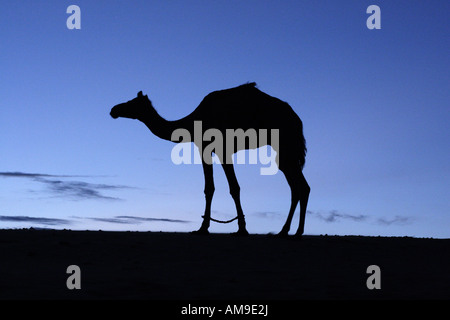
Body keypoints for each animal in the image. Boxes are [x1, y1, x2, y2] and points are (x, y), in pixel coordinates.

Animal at [110, 83, 312, 238]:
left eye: (132, 103)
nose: (114, 110)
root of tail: (297, 119)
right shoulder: (205, 149)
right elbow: (210, 188)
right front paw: (205, 227)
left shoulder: (221, 148)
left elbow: (232, 188)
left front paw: (239, 229)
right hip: (284, 150)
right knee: (298, 186)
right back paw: (287, 231)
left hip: (285, 145)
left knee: (300, 186)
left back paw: (294, 231)